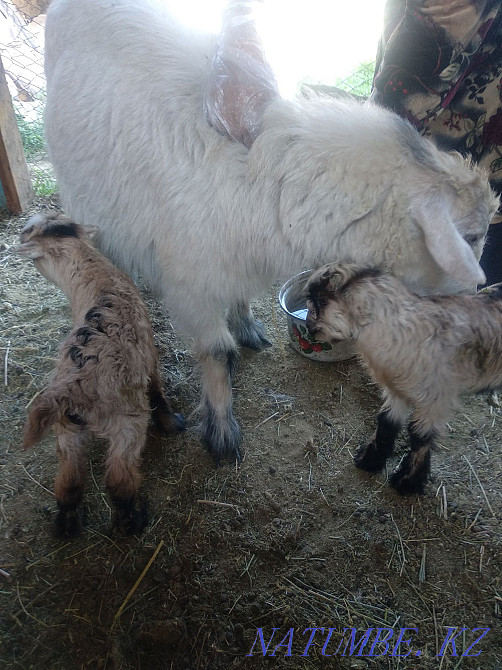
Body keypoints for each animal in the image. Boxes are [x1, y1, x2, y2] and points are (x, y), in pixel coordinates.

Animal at [16, 213, 186, 536]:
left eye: (31, 231)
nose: (20, 234)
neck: (98, 277)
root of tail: (69, 388)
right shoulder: (149, 355)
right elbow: (157, 391)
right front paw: (174, 423)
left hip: (66, 430)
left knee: (69, 480)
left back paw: (67, 524)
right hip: (126, 423)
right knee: (119, 479)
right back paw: (134, 519)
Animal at [43, 0, 499, 462]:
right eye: (471, 236)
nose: (474, 296)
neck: (271, 186)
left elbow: (240, 301)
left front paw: (246, 325)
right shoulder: (194, 283)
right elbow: (217, 353)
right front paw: (222, 432)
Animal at [305, 262, 502, 494]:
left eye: (322, 301)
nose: (309, 328)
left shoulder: (435, 399)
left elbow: (419, 437)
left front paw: (408, 481)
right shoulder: (396, 389)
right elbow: (386, 422)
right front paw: (369, 460)